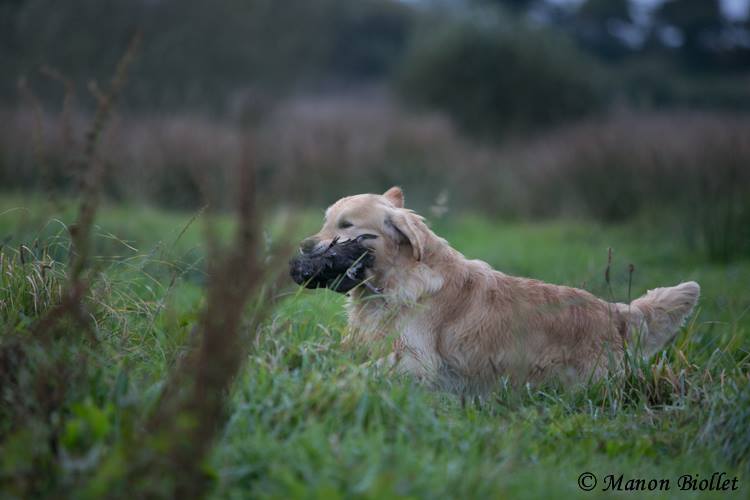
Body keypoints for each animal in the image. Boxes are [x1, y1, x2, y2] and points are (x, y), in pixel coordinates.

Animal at [290, 186, 704, 392]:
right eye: (326, 222)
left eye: (346, 226)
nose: (304, 247)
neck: (399, 282)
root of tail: (614, 310)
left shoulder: (417, 361)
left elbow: (365, 370)